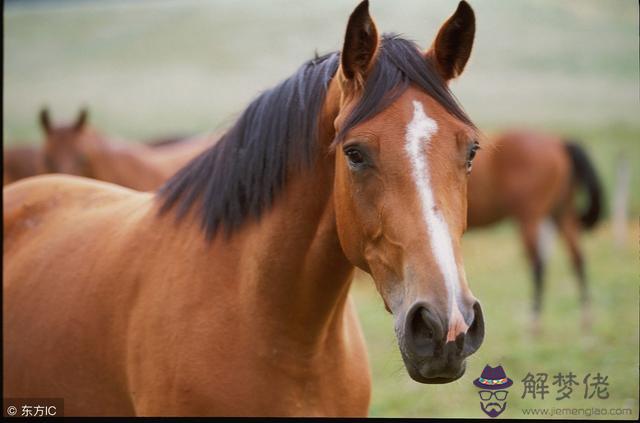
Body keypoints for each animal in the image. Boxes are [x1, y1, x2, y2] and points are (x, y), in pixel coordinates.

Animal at [468, 130, 604, 334]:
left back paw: (534, 322)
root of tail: (559, 142)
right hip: (561, 213)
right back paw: (585, 319)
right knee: (577, 258)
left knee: (538, 266)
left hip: (530, 219)